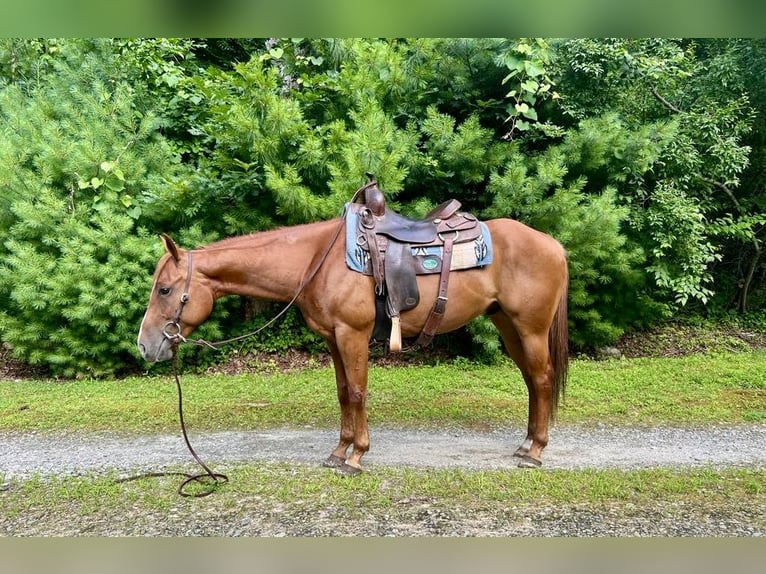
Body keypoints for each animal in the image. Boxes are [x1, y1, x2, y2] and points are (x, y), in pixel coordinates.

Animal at [137, 201, 569, 475]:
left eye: (164, 289)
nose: (145, 345)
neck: (315, 261)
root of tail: (553, 244)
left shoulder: (352, 334)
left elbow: (359, 392)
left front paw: (356, 457)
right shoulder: (333, 338)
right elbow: (344, 393)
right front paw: (339, 450)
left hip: (530, 329)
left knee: (542, 379)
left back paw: (535, 451)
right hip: (508, 326)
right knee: (532, 381)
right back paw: (526, 444)